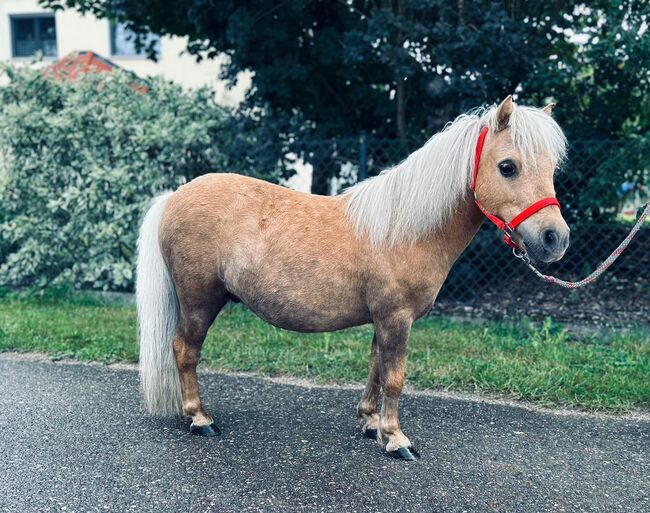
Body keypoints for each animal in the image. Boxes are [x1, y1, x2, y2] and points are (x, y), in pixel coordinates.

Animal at [135, 96, 568, 460]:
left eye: (552, 168)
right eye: (507, 166)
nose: (554, 238)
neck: (404, 230)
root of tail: (174, 196)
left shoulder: (385, 320)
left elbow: (376, 369)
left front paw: (371, 423)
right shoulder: (396, 319)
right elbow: (394, 378)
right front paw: (395, 440)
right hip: (199, 300)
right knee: (184, 351)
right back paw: (199, 418)